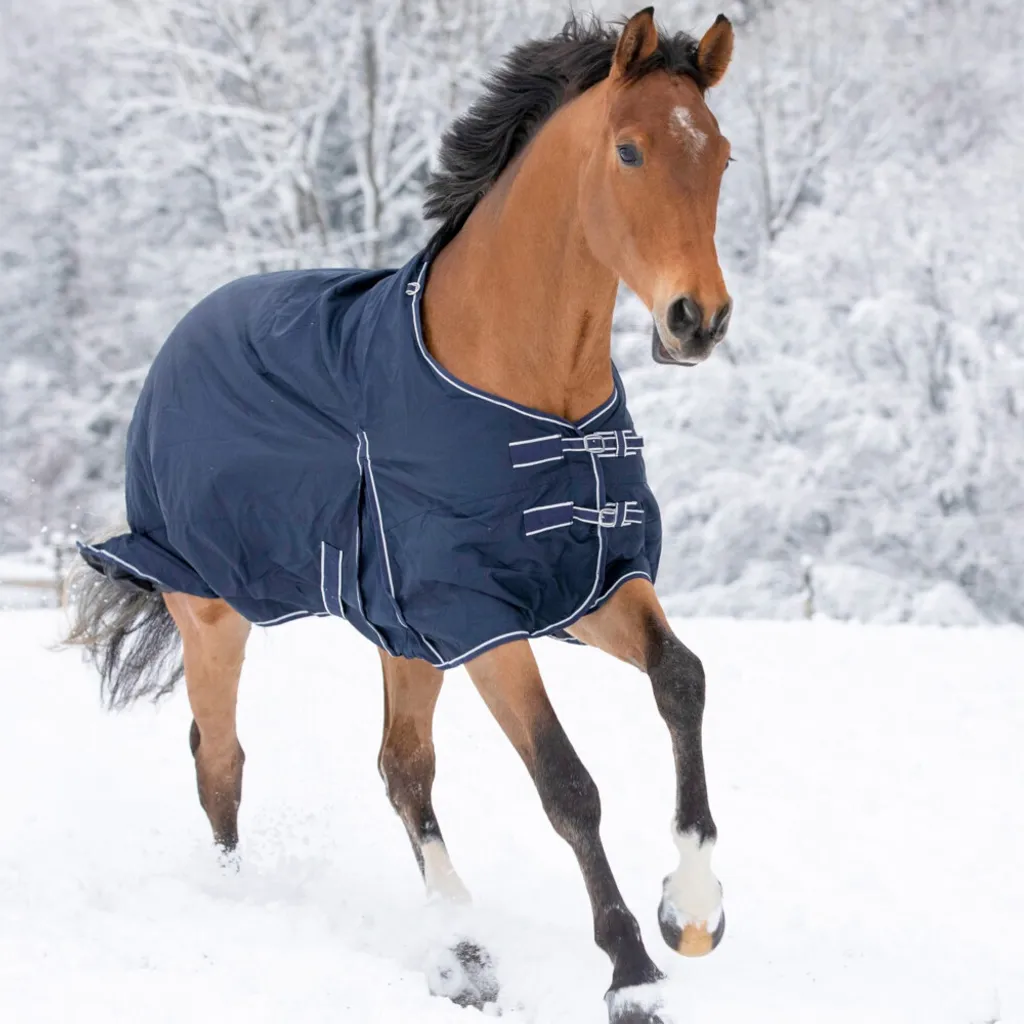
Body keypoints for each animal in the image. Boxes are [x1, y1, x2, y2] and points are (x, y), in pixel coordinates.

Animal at [64, 9, 735, 1023]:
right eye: (629, 150)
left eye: (722, 156)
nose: (699, 319)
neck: (538, 393)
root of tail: (181, 334)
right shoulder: (481, 619)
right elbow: (567, 784)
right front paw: (632, 974)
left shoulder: (588, 588)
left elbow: (681, 680)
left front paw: (690, 912)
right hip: (215, 613)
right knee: (220, 760)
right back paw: (249, 904)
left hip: (401, 635)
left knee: (400, 768)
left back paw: (463, 954)